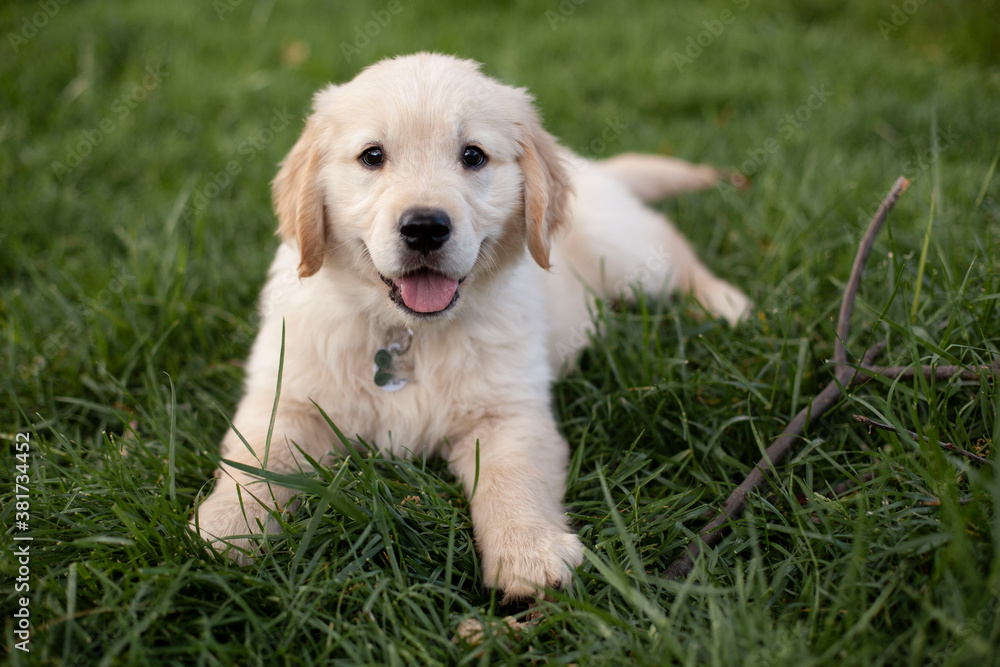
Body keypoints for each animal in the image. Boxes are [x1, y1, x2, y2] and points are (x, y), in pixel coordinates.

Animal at [191, 52, 748, 600]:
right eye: (372, 156)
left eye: (474, 156)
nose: (424, 227)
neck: (409, 333)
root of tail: (592, 167)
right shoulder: (288, 396)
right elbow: (260, 457)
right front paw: (226, 527)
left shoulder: (508, 412)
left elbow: (512, 477)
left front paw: (529, 551)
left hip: (630, 257)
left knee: (674, 249)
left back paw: (727, 303)